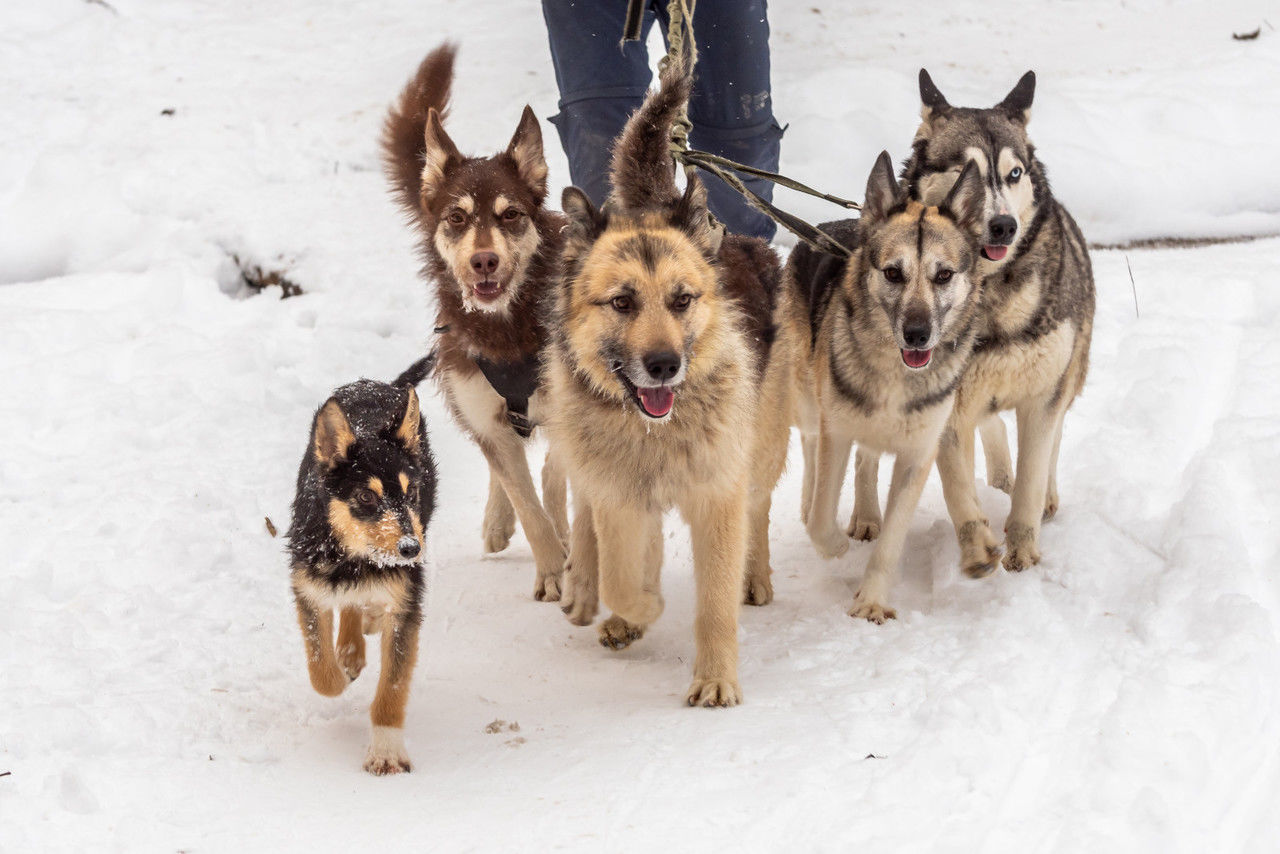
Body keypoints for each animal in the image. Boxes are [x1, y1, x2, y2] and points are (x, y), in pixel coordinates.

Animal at [288, 363, 437, 778]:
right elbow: (320, 670)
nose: (411, 549)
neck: (353, 555)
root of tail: (384, 385)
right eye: (366, 497)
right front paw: (340, 674)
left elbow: (392, 688)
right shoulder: (308, 586)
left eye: (411, 493)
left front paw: (386, 751)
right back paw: (352, 650)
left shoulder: (405, 604)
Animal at [373, 41, 565, 601]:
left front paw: (568, 542)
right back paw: (501, 519)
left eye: (511, 215)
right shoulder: (484, 409)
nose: (484, 261)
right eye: (456, 218)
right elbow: (528, 503)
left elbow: (554, 476)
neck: (506, 328)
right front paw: (553, 568)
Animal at [783, 151, 983, 622]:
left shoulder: (917, 456)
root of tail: (829, 225)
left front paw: (872, 600)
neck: (897, 375)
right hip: (807, 398)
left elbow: (891, 543)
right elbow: (821, 515)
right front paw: (834, 546)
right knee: (810, 447)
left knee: (867, 460)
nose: (917, 334)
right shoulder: (836, 433)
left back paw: (867, 514)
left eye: (944, 275)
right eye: (893, 273)